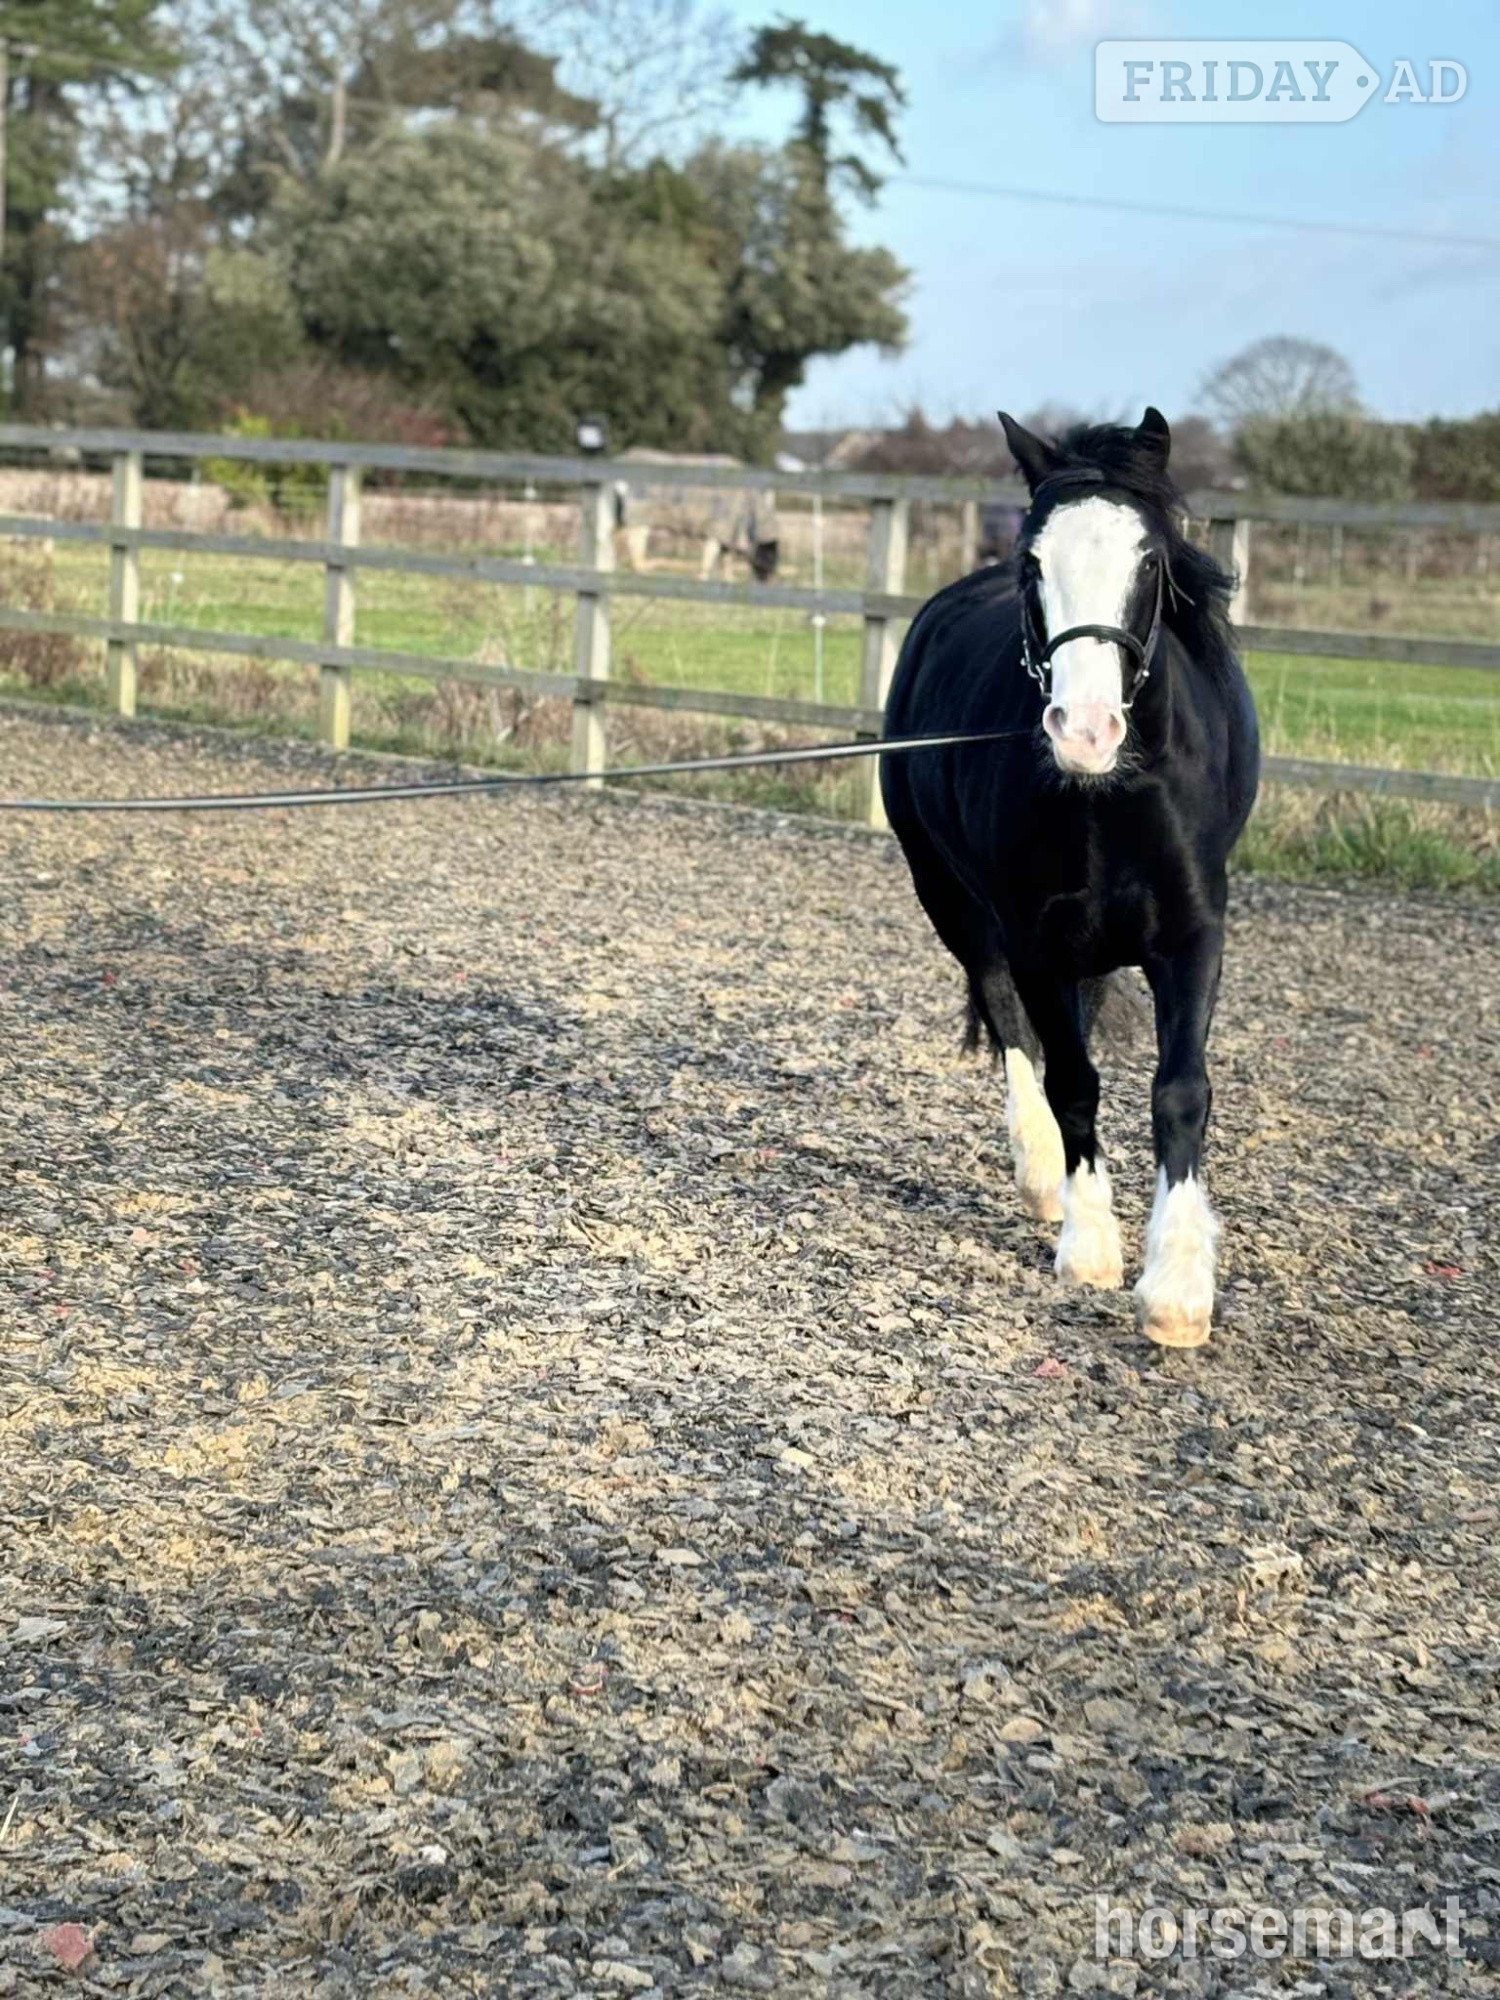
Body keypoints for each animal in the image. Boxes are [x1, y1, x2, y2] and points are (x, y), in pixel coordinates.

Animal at [881, 408, 1260, 1348]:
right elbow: (1073, 1082)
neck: (1111, 796)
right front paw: (1091, 1248)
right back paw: (1043, 1173)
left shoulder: (1194, 937)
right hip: (949, 898)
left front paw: (1178, 1291)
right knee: (1007, 1017)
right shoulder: (1039, 942)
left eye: (1151, 561)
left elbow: (1180, 1091)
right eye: (1034, 562)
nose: (1084, 731)